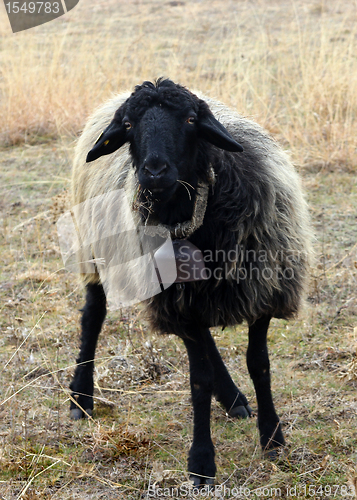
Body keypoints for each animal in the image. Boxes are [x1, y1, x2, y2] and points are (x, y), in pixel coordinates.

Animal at [67, 78, 312, 484]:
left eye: (191, 119)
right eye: (129, 125)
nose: (153, 171)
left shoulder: (262, 291)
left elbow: (259, 364)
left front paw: (273, 438)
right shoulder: (180, 304)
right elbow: (199, 380)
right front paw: (201, 461)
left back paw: (233, 399)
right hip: (96, 251)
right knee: (92, 316)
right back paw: (80, 397)